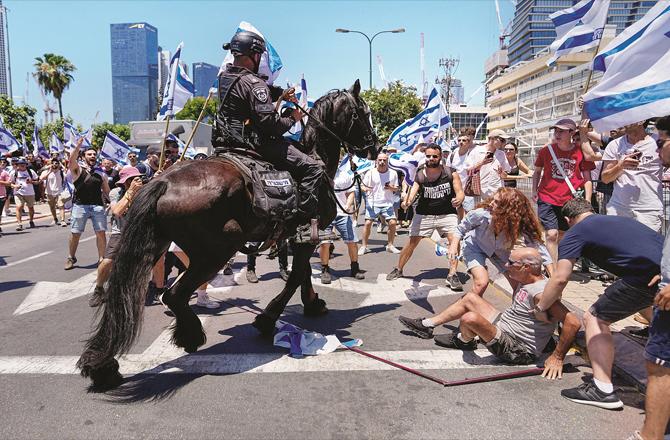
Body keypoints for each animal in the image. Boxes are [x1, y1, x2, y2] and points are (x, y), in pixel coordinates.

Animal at [77, 80, 378, 392]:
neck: (315, 156)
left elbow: (303, 273)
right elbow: (296, 276)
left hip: (156, 247)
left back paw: (103, 366)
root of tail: (163, 181)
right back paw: (190, 336)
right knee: (173, 294)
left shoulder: (299, 236)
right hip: (216, 252)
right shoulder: (307, 234)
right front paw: (268, 319)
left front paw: (312, 303)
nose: (375, 146)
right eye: (362, 112)